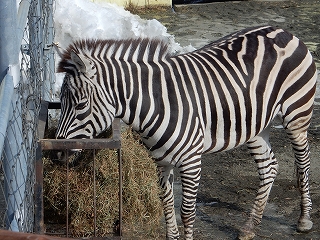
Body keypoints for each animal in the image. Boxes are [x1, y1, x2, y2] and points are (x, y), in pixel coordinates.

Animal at [55, 25, 318, 239]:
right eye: (60, 101)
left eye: (80, 105)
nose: (57, 155)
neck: (158, 102)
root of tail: (282, 30)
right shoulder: (161, 162)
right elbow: (167, 207)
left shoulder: (191, 161)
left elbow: (187, 213)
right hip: (254, 125)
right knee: (269, 167)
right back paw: (250, 227)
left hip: (297, 114)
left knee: (303, 163)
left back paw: (304, 219)